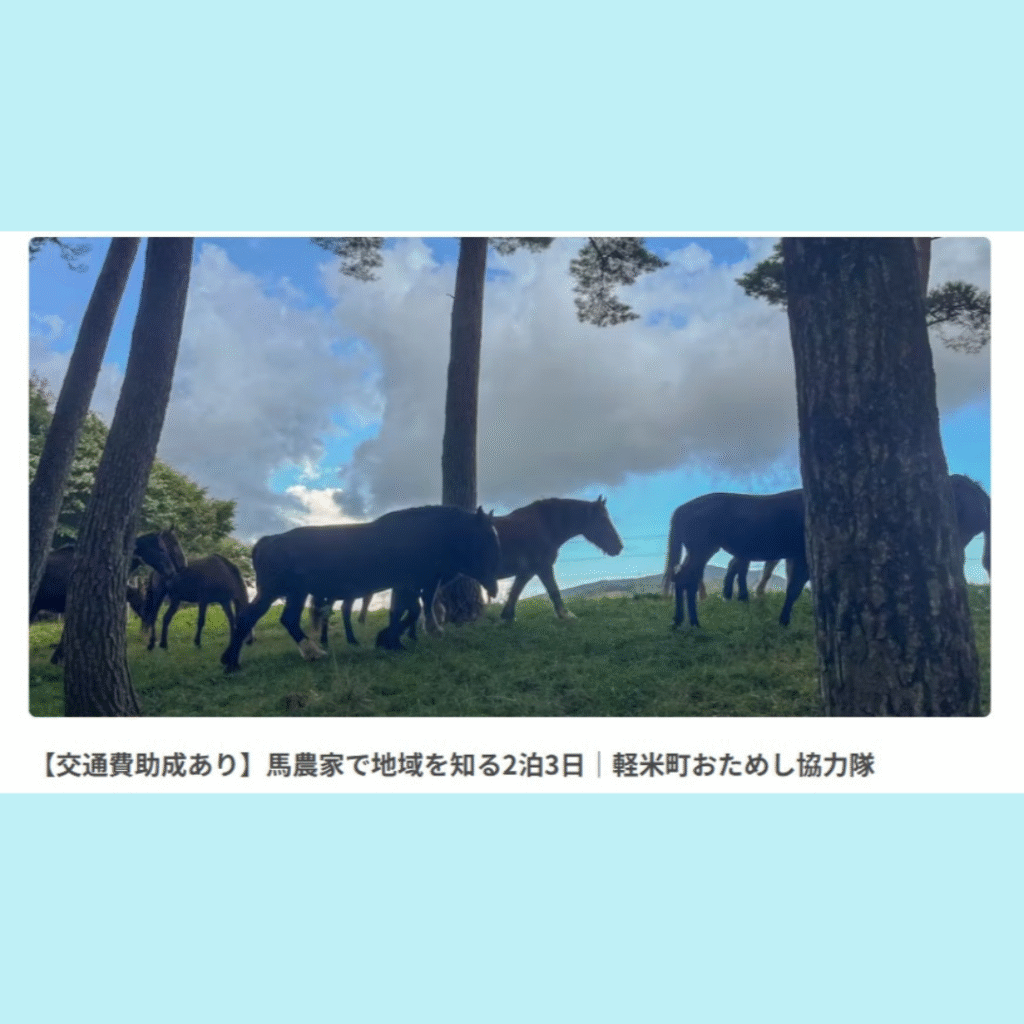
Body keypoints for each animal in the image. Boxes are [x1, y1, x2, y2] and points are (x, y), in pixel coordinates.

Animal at [221, 505, 501, 671]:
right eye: (486, 537)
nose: (495, 588)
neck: (422, 534)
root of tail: (268, 541)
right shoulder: (409, 583)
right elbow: (409, 612)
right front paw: (389, 640)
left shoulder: (408, 585)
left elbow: (405, 612)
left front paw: (391, 641)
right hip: (276, 592)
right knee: (255, 618)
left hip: (294, 593)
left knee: (281, 619)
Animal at [662, 489, 809, 629]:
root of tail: (681, 509)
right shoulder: (801, 557)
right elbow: (794, 589)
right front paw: (784, 621)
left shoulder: (793, 557)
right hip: (701, 551)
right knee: (685, 580)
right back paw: (693, 623)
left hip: (699, 553)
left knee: (685, 580)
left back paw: (681, 621)